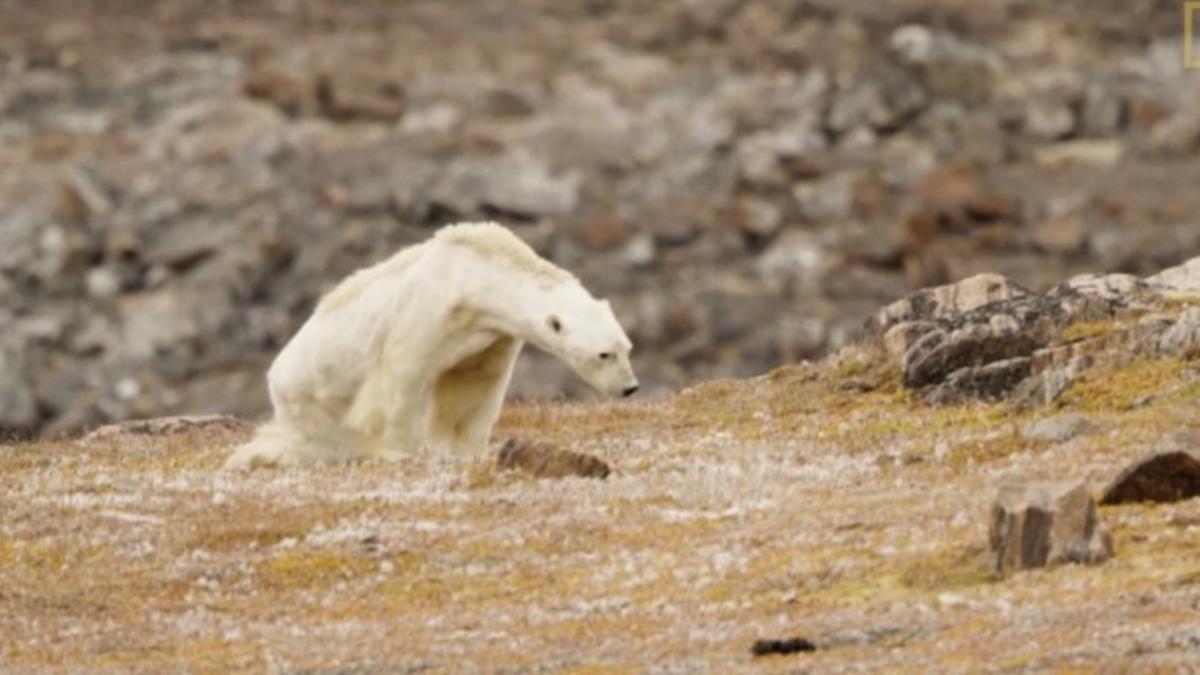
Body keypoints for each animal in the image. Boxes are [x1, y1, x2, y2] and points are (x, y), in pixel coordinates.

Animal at [222, 220, 643, 468]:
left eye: (627, 347)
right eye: (603, 354)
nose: (629, 388)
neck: (476, 276)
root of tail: (274, 374)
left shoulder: (491, 335)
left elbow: (476, 384)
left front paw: (466, 450)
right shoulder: (428, 310)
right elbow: (405, 375)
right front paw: (403, 451)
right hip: (312, 402)